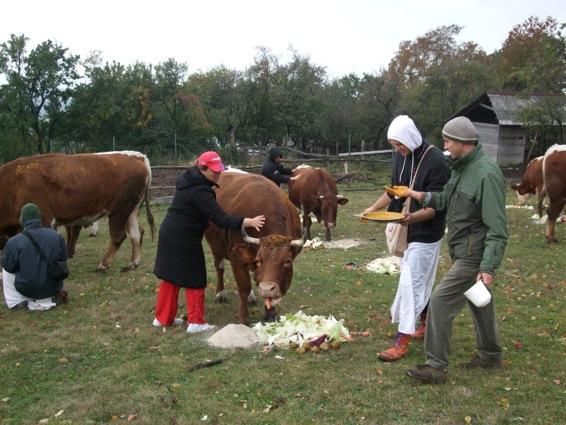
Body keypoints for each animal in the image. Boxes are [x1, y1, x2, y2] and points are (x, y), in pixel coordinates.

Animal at [0, 151, 155, 270]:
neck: (14, 186)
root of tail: (137, 159)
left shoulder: (45, 220)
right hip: (130, 211)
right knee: (135, 234)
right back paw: (132, 263)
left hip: (119, 211)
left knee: (119, 236)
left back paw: (103, 265)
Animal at [205, 171, 306, 322]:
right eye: (258, 261)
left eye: (287, 261)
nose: (267, 288)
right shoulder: (237, 259)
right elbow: (243, 288)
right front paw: (243, 317)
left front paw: (270, 315)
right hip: (216, 247)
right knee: (219, 267)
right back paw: (220, 294)